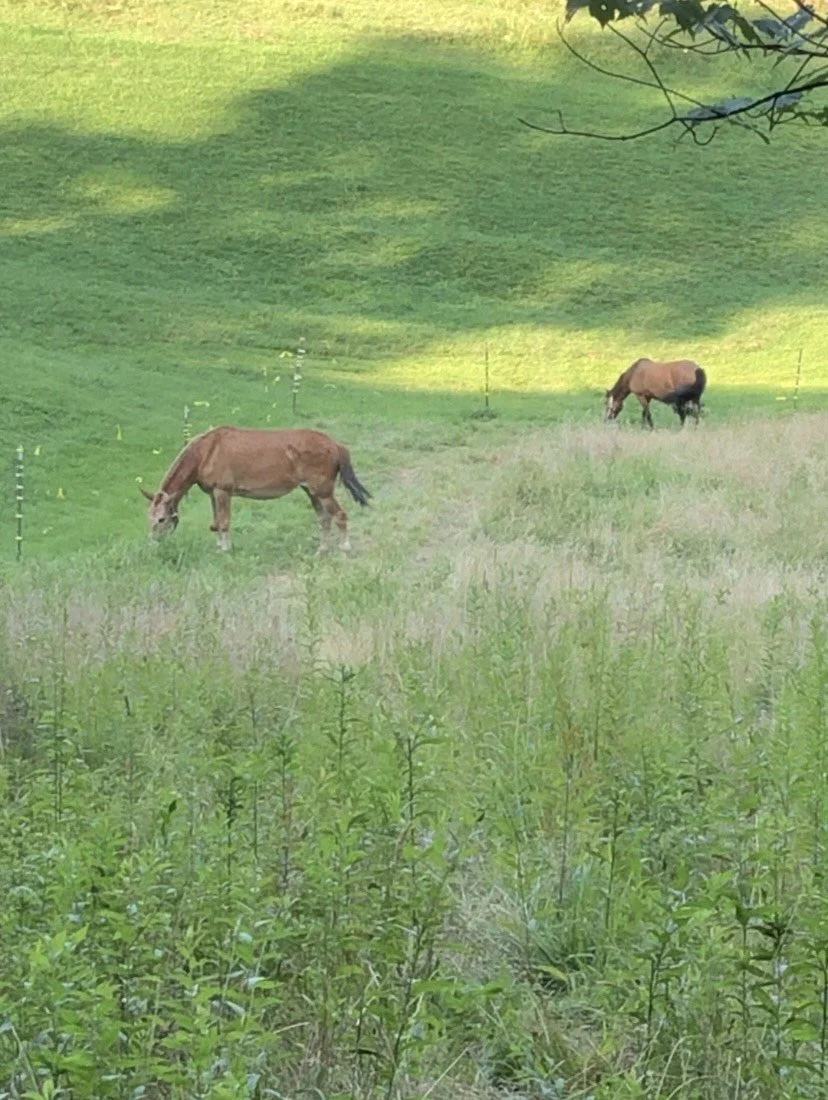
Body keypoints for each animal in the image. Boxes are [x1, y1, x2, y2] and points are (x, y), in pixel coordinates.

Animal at [140, 426, 371, 552]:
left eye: (161, 519)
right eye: (149, 517)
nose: (153, 543)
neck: (207, 452)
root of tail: (335, 445)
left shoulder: (223, 491)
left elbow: (224, 522)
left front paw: (225, 549)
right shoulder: (213, 494)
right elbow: (216, 523)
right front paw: (219, 546)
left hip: (323, 491)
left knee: (340, 515)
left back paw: (344, 547)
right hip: (312, 491)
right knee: (324, 519)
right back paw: (321, 549)